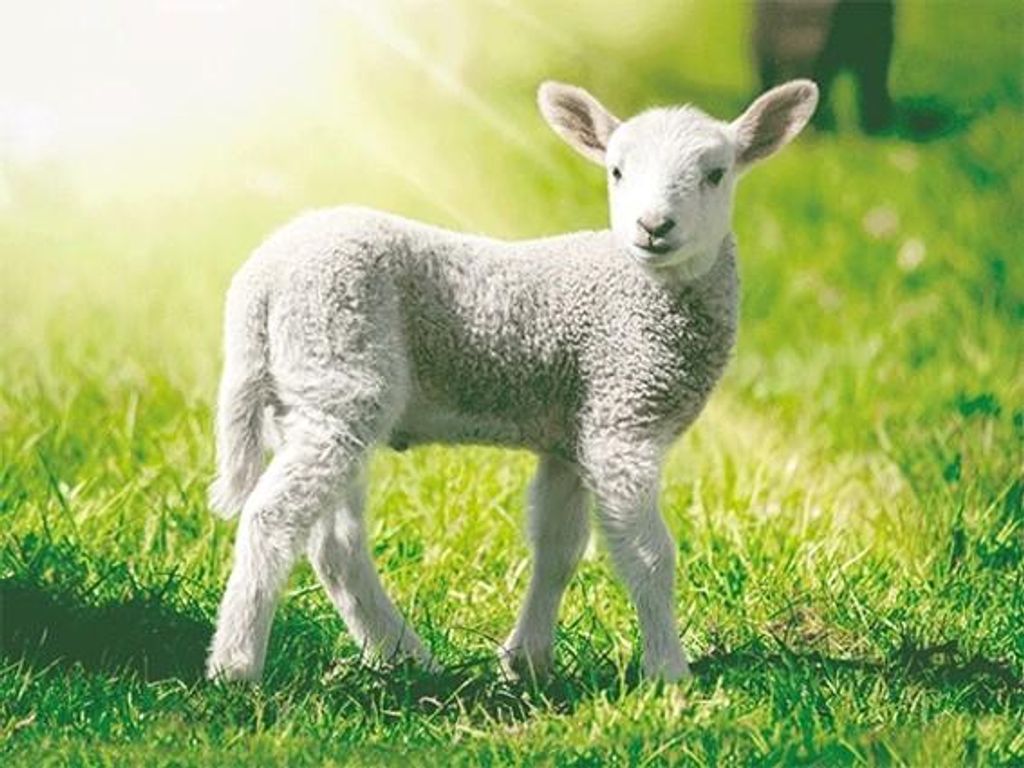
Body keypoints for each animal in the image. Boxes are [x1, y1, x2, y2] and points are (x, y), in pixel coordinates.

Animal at [205, 78, 819, 684]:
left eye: (715, 174)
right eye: (616, 171)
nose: (653, 227)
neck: (635, 286)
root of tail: (258, 278)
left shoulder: (573, 431)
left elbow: (558, 548)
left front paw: (528, 662)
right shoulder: (621, 419)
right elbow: (648, 555)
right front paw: (669, 673)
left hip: (311, 395)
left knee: (334, 542)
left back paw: (403, 655)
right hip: (339, 364)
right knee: (273, 516)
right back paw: (236, 665)